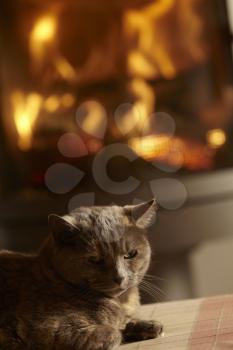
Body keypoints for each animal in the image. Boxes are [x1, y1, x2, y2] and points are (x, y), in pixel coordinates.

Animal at [0, 198, 163, 348]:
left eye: (130, 254)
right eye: (95, 259)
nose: (120, 277)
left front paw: (147, 325)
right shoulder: (48, 329)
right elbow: (113, 332)